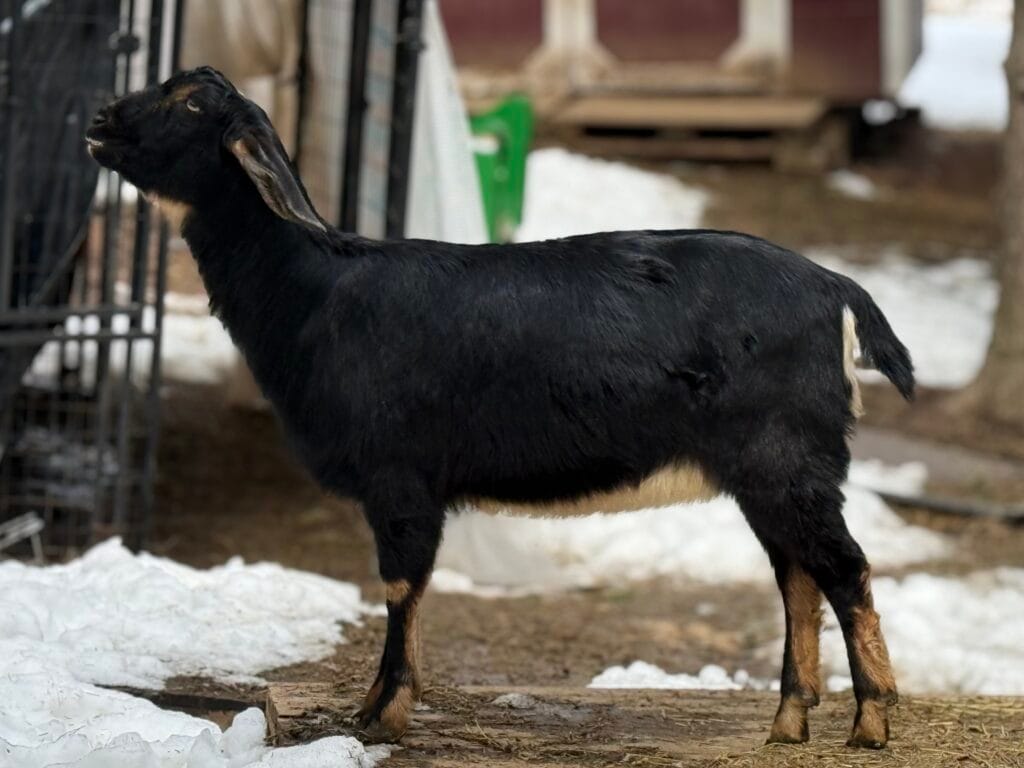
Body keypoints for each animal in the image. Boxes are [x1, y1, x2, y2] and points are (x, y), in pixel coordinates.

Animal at [88, 67, 914, 749]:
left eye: (192, 103)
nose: (100, 118)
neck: (317, 294)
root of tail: (842, 292)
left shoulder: (401, 480)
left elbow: (401, 587)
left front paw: (380, 714)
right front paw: (378, 707)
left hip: (786, 460)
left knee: (845, 571)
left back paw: (870, 722)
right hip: (769, 474)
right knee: (797, 576)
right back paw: (788, 722)